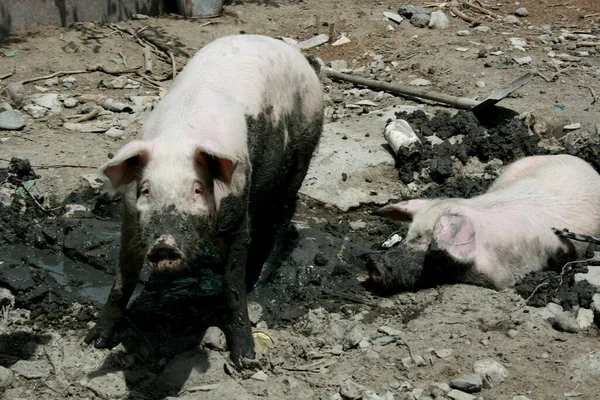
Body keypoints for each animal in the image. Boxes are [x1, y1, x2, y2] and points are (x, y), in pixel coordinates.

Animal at [84, 35, 324, 366]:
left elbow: (233, 286)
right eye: (146, 190)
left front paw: (245, 358)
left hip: (302, 149)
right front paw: (93, 341)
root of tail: (304, 61)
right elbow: (123, 277)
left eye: (197, 189)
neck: (177, 139)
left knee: (282, 214)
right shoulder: (131, 219)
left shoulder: (238, 211)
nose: (164, 245)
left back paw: (259, 283)